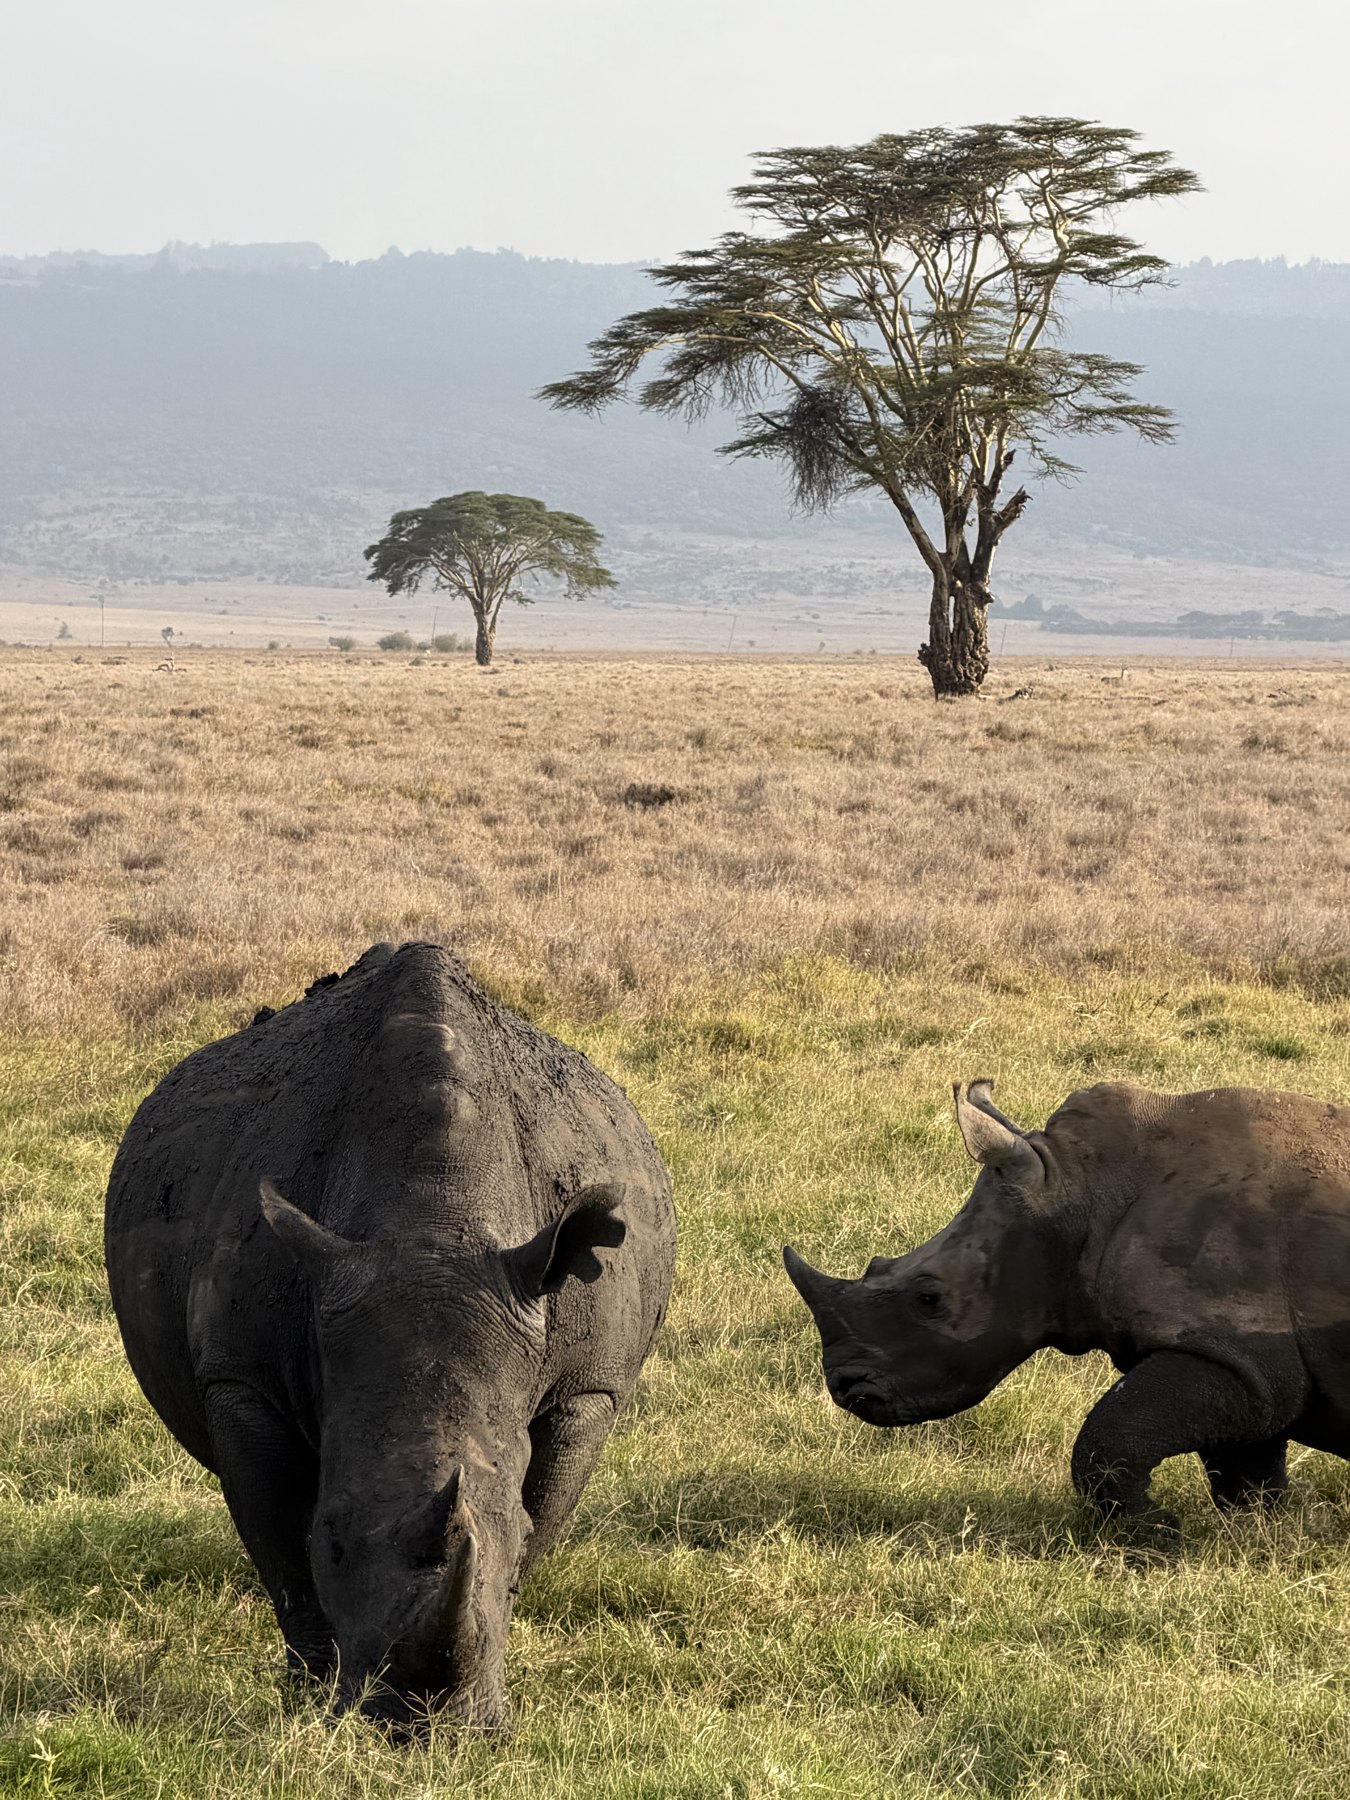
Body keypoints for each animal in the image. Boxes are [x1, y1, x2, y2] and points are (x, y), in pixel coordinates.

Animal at [105, 942, 675, 1726]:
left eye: (515, 1538)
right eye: (334, 1539)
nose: (422, 1724)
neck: (434, 1225)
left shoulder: (590, 1384)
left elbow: (542, 1511)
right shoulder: (241, 1380)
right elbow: (283, 1553)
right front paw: (312, 1692)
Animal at [785, 1079, 1350, 1524]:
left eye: (929, 1298)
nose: (846, 1387)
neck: (1079, 1193)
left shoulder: (1241, 1355)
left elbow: (1107, 1441)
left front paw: (1157, 1535)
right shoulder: (1246, 1361)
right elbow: (1244, 1471)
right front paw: (1259, 1535)